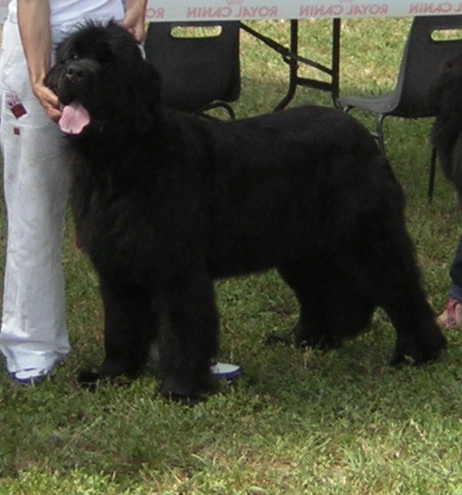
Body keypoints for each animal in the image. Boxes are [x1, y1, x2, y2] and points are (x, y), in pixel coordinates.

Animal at [45, 21, 446, 404]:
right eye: (72, 56)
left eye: (107, 61)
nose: (75, 73)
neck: (122, 159)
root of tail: (362, 134)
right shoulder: (117, 267)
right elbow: (121, 326)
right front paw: (111, 374)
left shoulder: (177, 269)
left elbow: (182, 330)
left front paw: (180, 389)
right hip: (303, 250)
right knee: (326, 294)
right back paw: (307, 339)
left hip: (370, 239)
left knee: (402, 290)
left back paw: (419, 353)